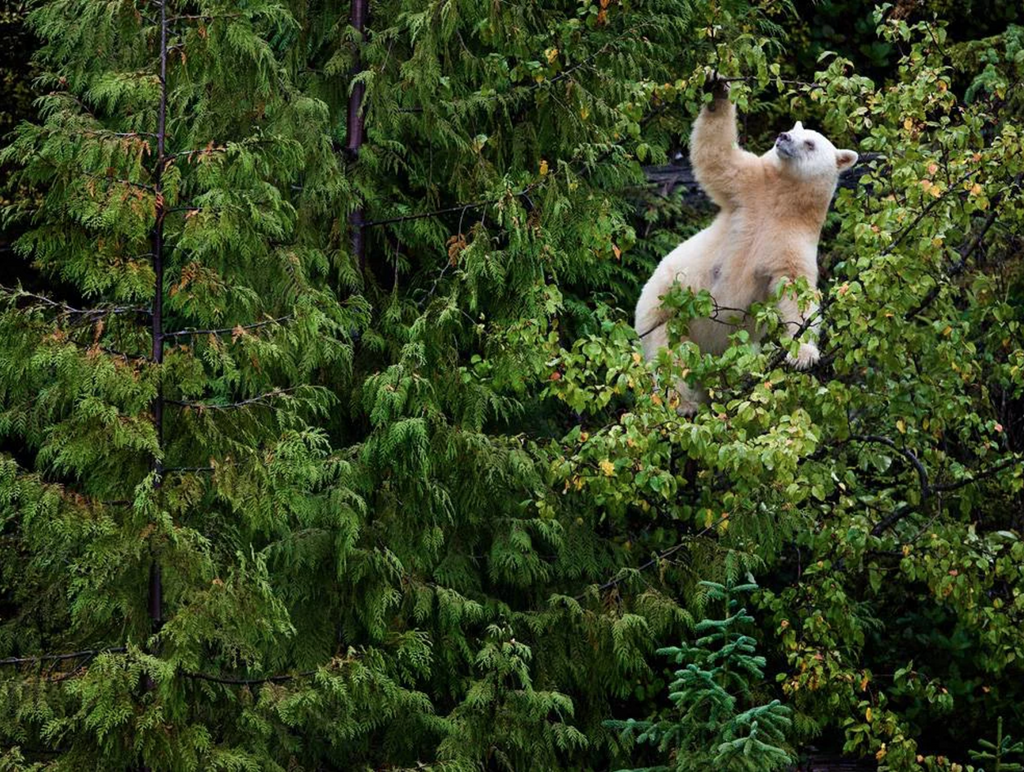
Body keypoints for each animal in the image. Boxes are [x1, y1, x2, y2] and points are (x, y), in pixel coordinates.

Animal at [634, 80, 860, 411]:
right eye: (791, 129)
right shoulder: (748, 191)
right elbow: (718, 159)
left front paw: (803, 355)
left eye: (810, 143)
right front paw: (717, 91)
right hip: (662, 312)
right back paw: (684, 402)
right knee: (670, 356)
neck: (781, 201)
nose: (783, 137)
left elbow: (797, 291)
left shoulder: (793, 240)